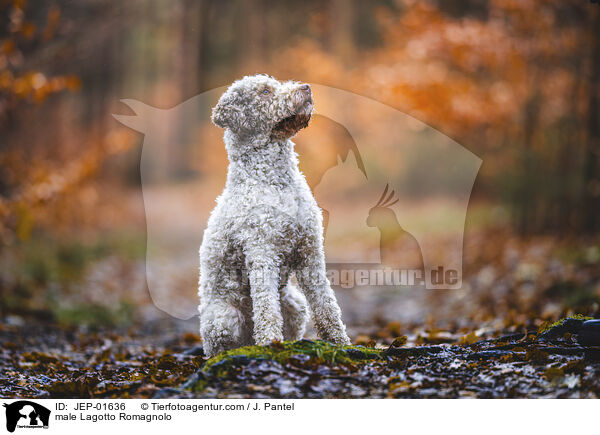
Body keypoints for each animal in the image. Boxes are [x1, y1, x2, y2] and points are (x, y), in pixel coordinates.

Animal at [200, 73, 352, 356]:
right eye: (265, 92)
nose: (306, 87)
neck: (277, 181)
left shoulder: (310, 254)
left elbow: (326, 305)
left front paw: (342, 343)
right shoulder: (262, 254)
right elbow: (266, 309)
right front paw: (270, 343)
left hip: (295, 304)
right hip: (224, 318)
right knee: (220, 346)